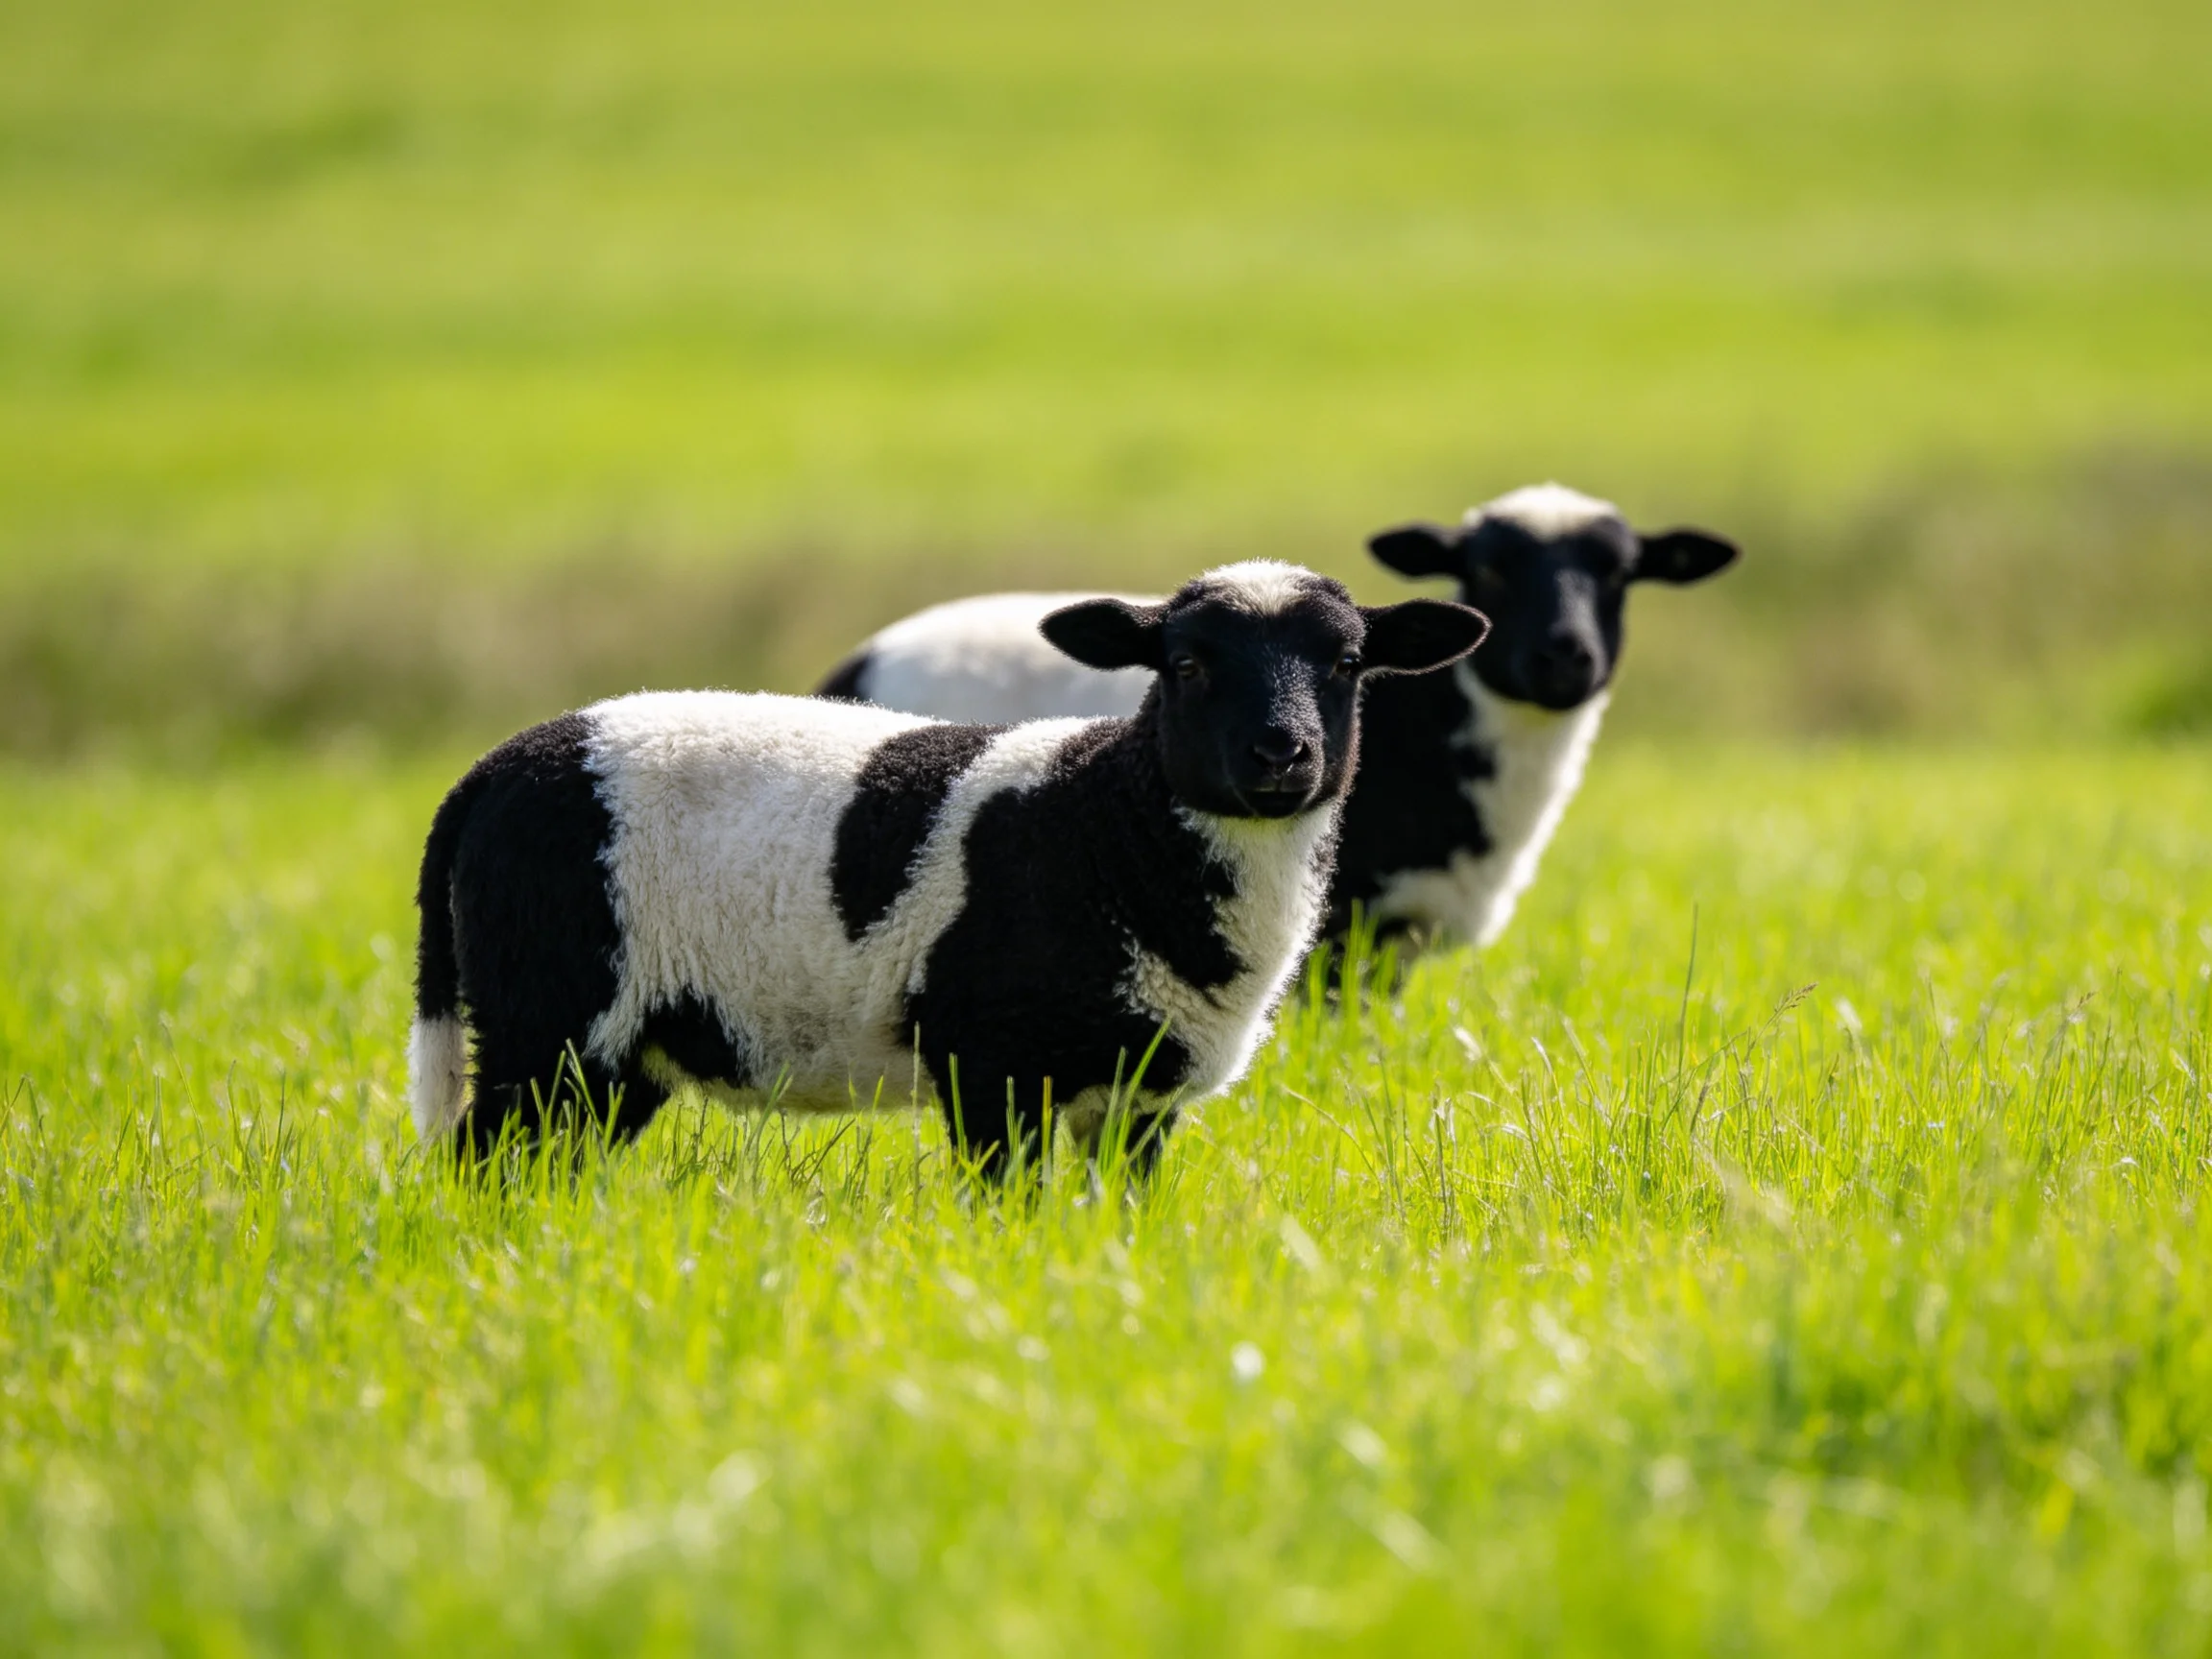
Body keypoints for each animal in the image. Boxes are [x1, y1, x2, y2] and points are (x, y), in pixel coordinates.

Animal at [410, 561, 1487, 1176]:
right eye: (1185, 665)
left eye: (1347, 665)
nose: (1281, 755)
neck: (1109, 824)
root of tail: (489, 772)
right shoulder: (990, 1067)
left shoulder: (1141, 1097)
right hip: (547, 1015)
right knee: (481, 1166)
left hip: (620, 1053)